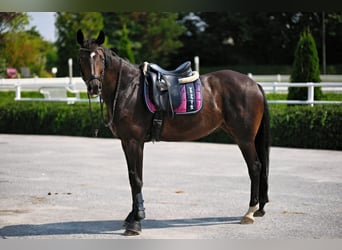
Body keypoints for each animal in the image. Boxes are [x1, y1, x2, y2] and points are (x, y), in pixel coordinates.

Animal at [77, 30, 270, 235]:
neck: (127, 89)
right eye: (81, 58)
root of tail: (254, 84)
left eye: (100, 57)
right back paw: (259, 208)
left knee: (255, 167)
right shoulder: (128, 142)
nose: (94, 87)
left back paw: (249, 212)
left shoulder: (134, 141)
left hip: (245, 138)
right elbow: (134, 176)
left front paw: (136, 222)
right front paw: (133, 215)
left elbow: (136, 179)